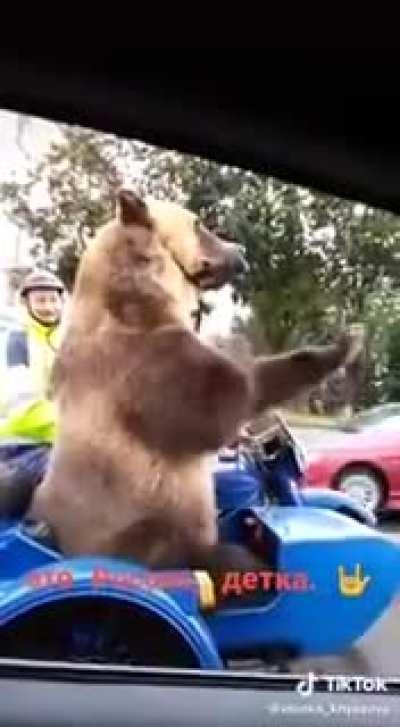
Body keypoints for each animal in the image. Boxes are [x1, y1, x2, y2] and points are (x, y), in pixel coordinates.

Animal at [30, 189, 362, 575]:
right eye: (199, 223)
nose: (240, 250)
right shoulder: (140, 366)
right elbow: (219, 401)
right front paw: (342, 345)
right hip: (137, 533)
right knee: (203, 551)